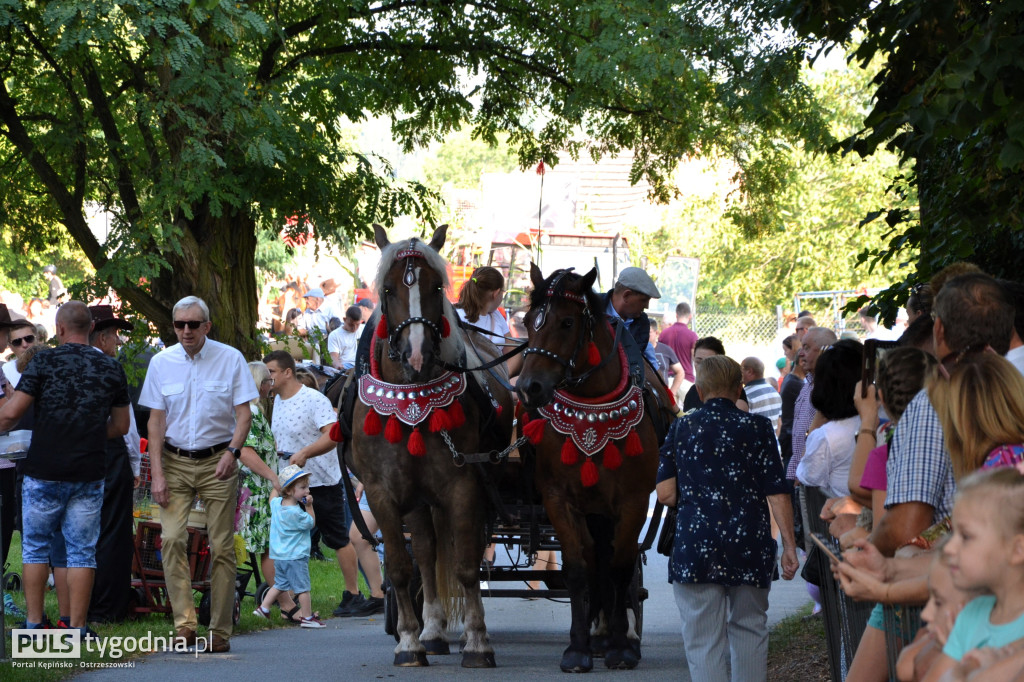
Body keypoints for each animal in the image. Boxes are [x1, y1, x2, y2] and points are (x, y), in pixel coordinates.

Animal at [350, 223, 512, 663]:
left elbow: (466, 564)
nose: (417, 355)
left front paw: (477, 641)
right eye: (388, 289)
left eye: (436, 286)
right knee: (424, 551)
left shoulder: (463, 485)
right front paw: (408, 641)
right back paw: (432, 631)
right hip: (419, 499)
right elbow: (401, 567)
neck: (413, 404)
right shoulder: (382, 492)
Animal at [520, 264, 671, 667]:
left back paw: (615, 635)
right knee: (595, 558)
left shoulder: (633, 501)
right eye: (527, 321)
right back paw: (596, 631)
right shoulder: (559, 499)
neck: (592, 410)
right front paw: (577, 647)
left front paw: (621, 645)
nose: (529, 386)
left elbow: (620, 568)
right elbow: (578, 568)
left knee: (612, 561)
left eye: (567, 322)